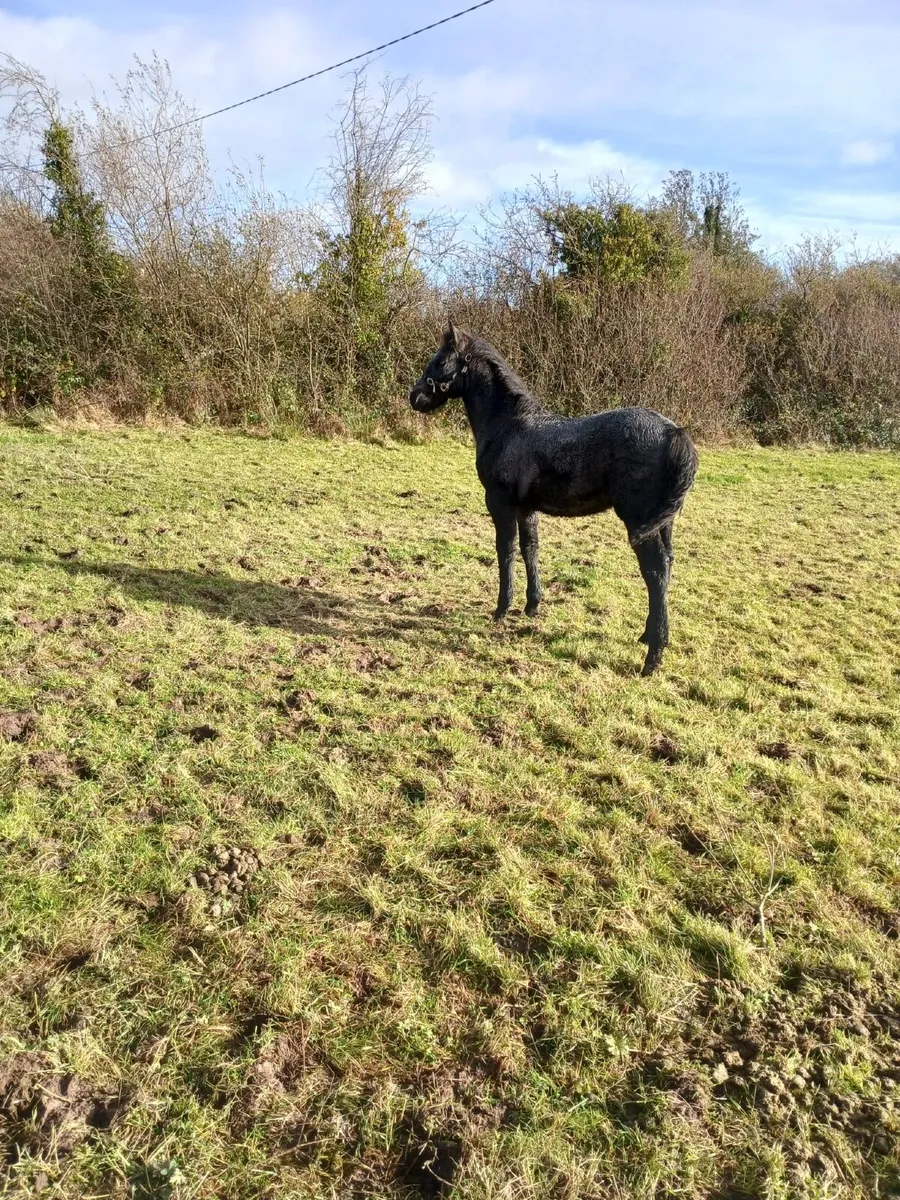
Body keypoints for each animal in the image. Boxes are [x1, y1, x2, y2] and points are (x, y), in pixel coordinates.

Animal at [409, 322, 699, 675]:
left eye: (440, 361)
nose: (415, 397)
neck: (509, 426)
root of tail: (674, 433)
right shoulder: (526, 508)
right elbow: (530, 548)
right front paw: (532, 605)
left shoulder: (499, 503)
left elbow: (505, 552)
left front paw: (501, 609)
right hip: (663, 522)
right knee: (667, 567)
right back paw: (648, 637)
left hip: (639, 521)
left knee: (655, 570)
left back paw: (652, 659)